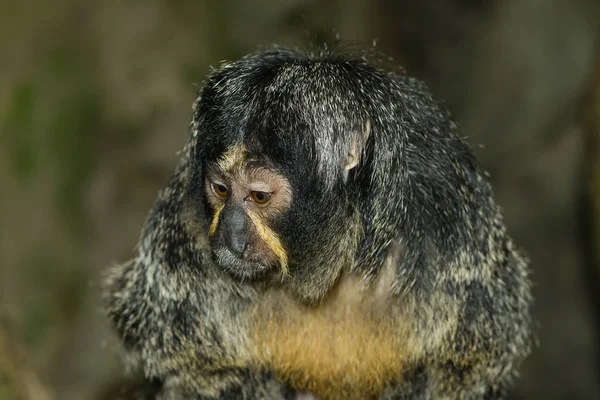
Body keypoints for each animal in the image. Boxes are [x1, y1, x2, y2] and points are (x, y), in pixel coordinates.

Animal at [102, 47, 528, 400]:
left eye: (259, 197)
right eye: (220, 190)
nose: (230, 236)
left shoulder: (452, 222)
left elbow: (462, 370)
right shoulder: (180, 231)